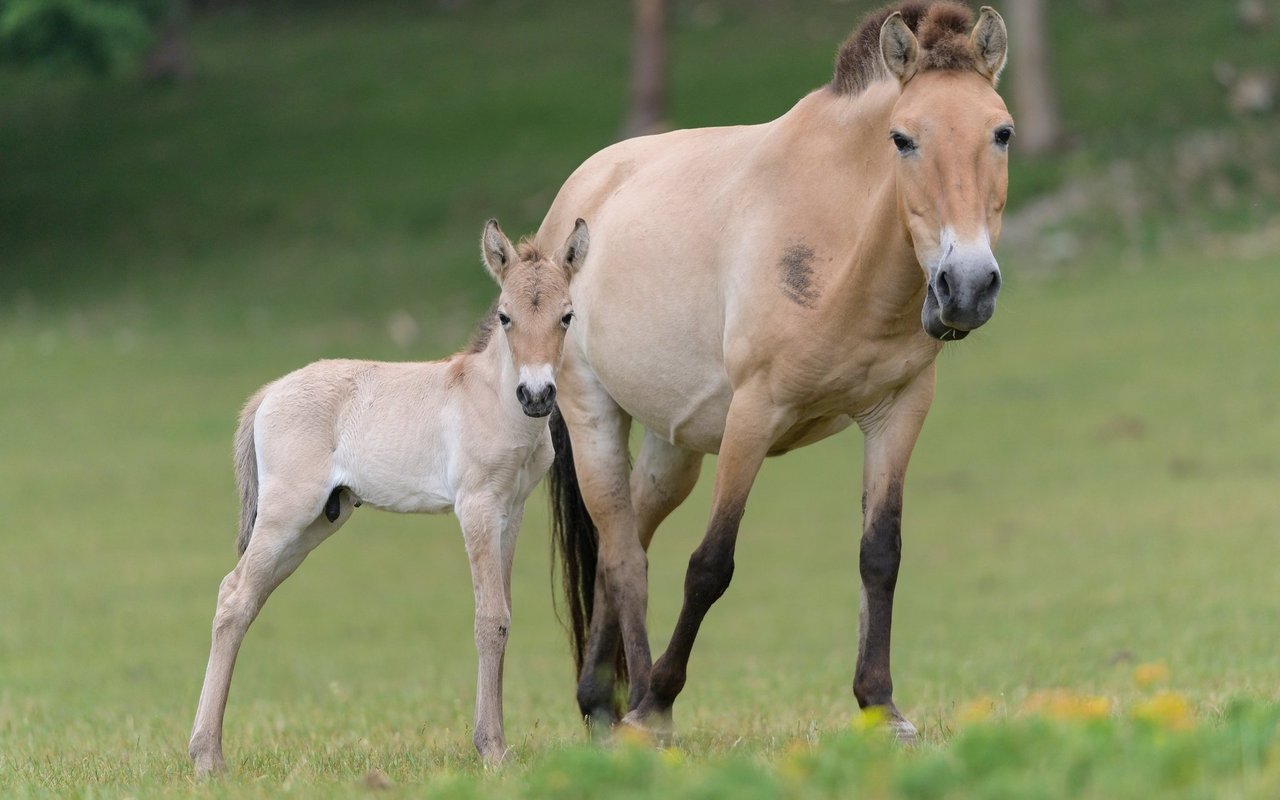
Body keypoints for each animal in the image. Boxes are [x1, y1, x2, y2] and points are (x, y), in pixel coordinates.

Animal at [188, 216, 588, 773]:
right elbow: (490, 618)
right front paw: (492, 750)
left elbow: (504, 615)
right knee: (234, 598)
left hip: (317, 522)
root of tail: (269, 392)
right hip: (286, 514)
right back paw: (207, 758)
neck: (491, 398)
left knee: (244, 597)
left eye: (567, 316)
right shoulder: (477, 506)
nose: (536, 396)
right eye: (505, 317)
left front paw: (497, 744)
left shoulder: (512, 510)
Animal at [537, 0, 1008, 737]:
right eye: (903, 139)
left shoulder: (900, 410)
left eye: (1002, 133)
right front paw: (661, 698)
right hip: (593, 418)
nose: (966, 287)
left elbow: (881, 554)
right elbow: (710, 565)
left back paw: (600, 704)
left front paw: (881, 706)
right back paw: (638, 706)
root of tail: (575, 196)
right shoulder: (755, 414)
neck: (842, 242)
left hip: (673, 448)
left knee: (631, 538)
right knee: (622, 556)